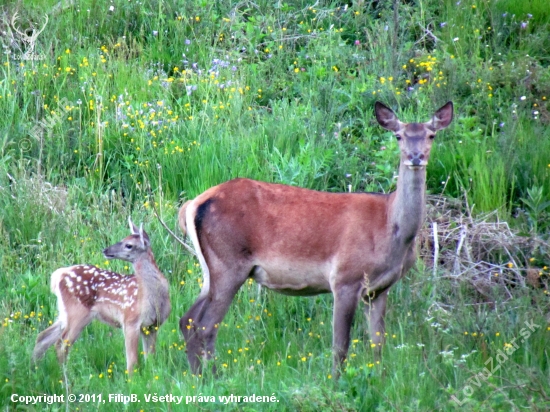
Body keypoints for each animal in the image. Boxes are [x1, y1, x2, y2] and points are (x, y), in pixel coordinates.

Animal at [33, 220, 170, 374]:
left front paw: (151, 374)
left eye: (128, 245)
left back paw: (35, 369)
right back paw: (65, 375)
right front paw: (132, 379)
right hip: (78, 312)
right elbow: (132, 361)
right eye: (123, 239)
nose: (106, 250)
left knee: (43, 337)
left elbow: (150, 358)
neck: (153, 298)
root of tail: (59, 275)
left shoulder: (152, 326)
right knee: (61, 344)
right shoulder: (130, 320)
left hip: (65, 313)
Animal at [179, 101, 454, 374]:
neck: (391, 229)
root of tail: (193, 204)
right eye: (399, 135)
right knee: (205, 325)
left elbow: (378, 344)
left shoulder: (379, 289)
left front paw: (378, 377)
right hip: (229, 263)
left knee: (188, 320)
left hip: (210, 268)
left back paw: (198, 375)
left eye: (431, 135)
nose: (415, 157)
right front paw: (337, 381)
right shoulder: (344, 278)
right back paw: (212, 376)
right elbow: (340, 346)